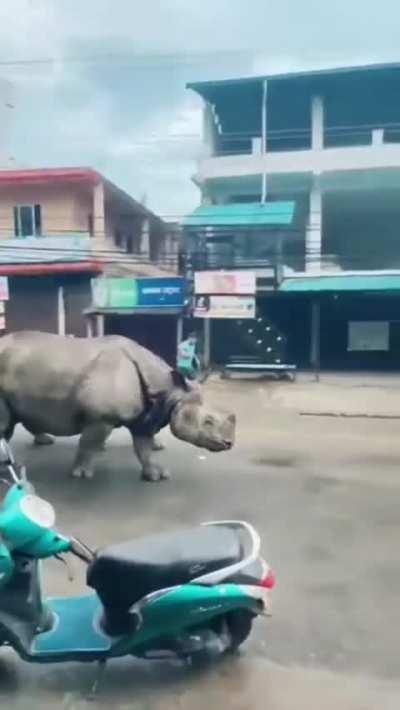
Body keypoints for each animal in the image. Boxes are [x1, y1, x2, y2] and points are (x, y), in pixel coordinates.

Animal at [0, 331, 235, 482]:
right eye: (208, 421)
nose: (229, 443)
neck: (171, 390)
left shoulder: (146, 415)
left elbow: (143, 448)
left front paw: (157, 475)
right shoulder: (100, 417)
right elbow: (89, 444)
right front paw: (81, 475)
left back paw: (44, 440)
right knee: (6, 422)